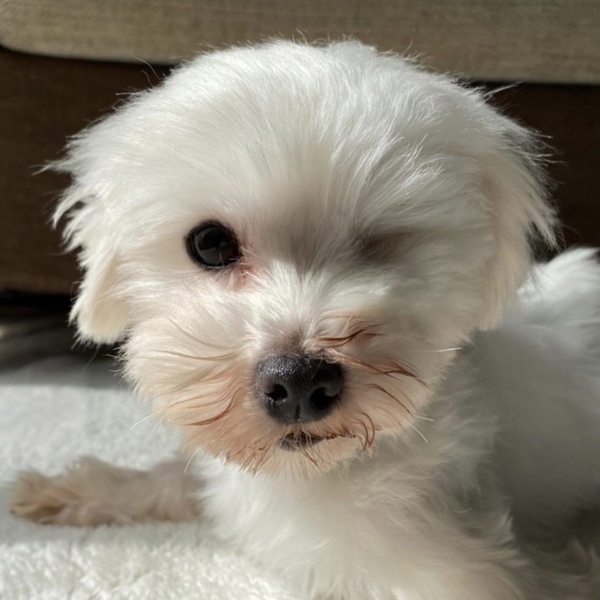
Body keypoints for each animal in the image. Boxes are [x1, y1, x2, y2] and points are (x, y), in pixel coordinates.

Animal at [10, 40, 600, 599]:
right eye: (209, 243)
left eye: (377, 243)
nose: (298, 382)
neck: (316, 471)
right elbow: (177, 476)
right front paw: (81, 489)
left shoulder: (472, 573)